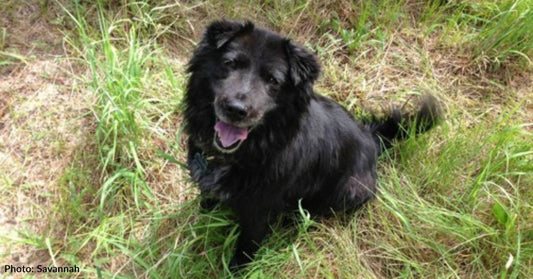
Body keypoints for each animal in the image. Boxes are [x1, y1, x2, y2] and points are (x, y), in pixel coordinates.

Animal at [185, 20, 438, 272]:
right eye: (229, 63)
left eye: (273, 80)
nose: (236, 109)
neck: (255, 148)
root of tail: (372, 139)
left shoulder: (259, 210)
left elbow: (246, 248)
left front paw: (235, 270)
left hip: (350, 189)